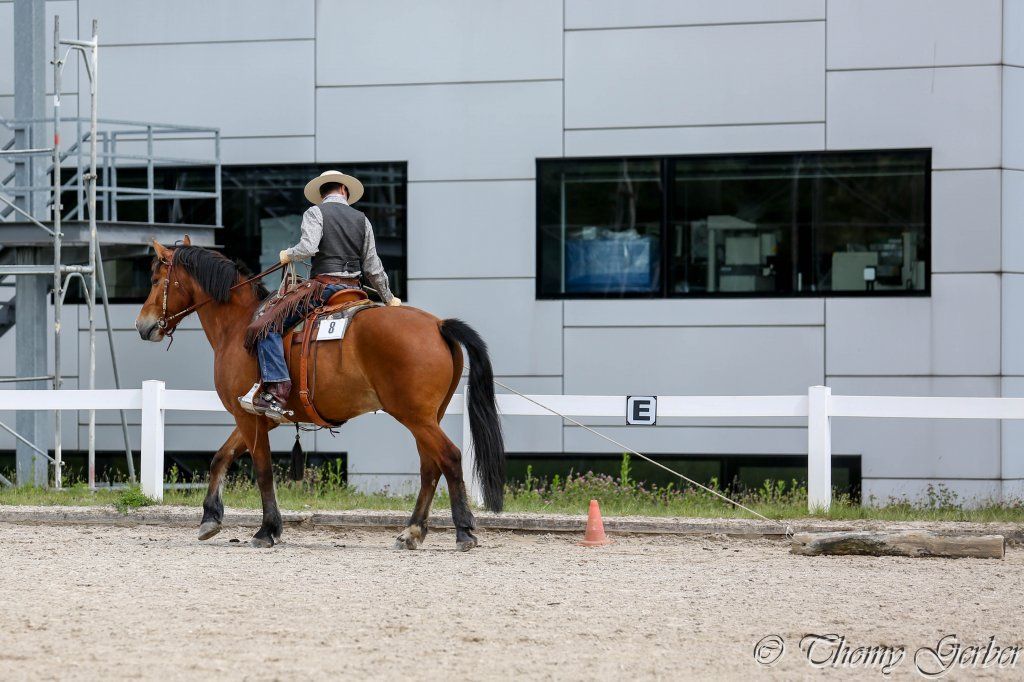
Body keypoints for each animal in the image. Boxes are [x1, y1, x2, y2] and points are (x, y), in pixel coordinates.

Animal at [134, 237, 505, 551]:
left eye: (155, 279)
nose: (142, 325)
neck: (238, 326)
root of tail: (438, 325)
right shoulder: (255, 417)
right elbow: (220, 458)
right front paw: (210, 518)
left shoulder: (249, 418)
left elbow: (263, 470)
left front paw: (267, 530)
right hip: (426, 418)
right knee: (430, 466)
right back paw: (412, 532)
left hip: (416, 417)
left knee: (450, 458)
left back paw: (463, 531)